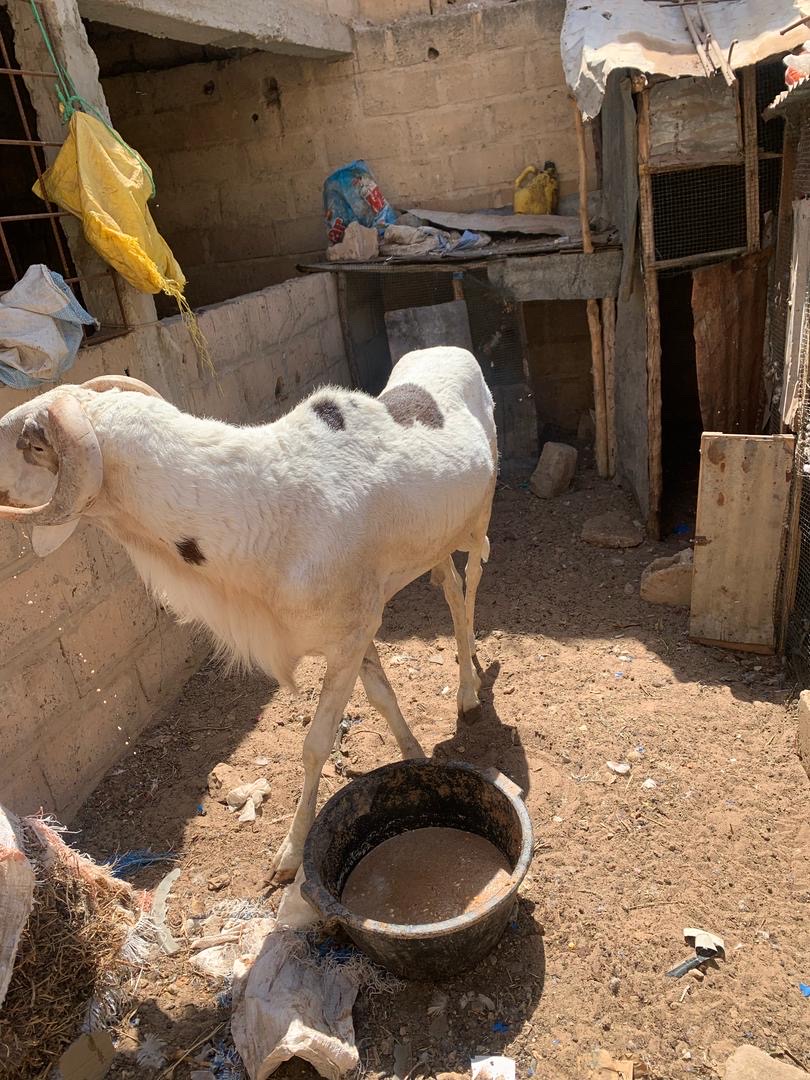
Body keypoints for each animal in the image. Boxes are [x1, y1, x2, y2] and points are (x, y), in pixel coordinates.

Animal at [0, 347, 497, 881]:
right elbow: (383, 697)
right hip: (437, 541)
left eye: (29, 442)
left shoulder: (349, 636)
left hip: (480, 520)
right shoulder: (358, 627)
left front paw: (290, 854)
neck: (259, 504)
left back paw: (469, 690)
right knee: (449, 585)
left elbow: (316, 743)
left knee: (470, 587)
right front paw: (414, 759)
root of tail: (450, 349)